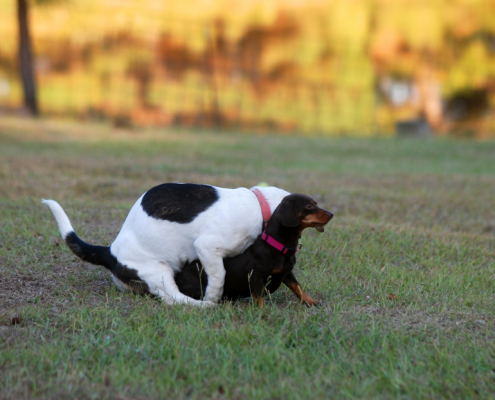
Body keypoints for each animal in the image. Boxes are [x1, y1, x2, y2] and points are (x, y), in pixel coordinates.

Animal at [174, 194, 334, 306]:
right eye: (308, 206)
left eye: (315, 204)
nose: (332, 214)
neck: (278, 245)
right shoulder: (255, 274)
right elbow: (260, 296)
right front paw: (264, 312)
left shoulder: (287, 273)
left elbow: (298, 287)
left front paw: (311, 301)